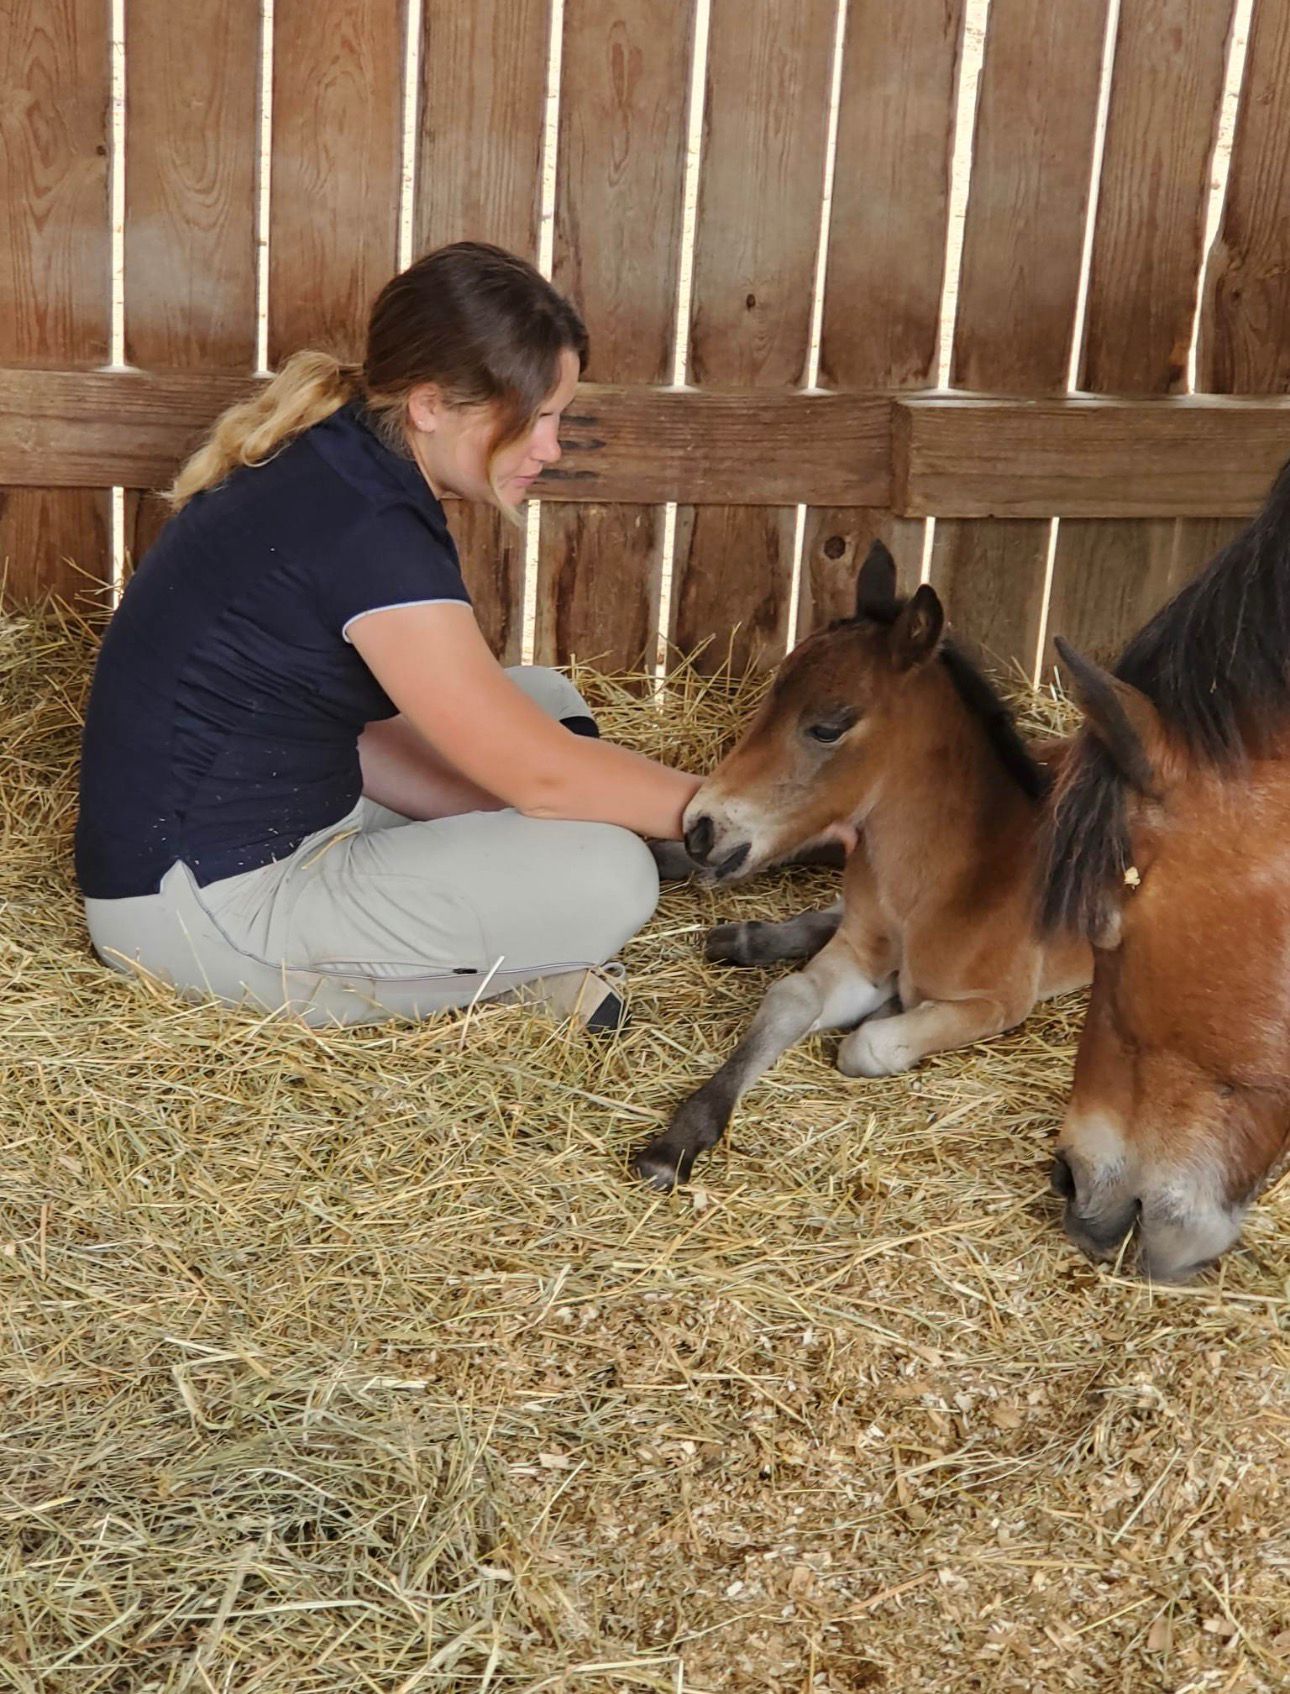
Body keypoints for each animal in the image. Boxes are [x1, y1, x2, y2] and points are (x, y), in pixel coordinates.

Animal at [632, 543, 1092, 1192]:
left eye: (828, 727)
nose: (701, 829)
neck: (946, 880)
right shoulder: (855, 952)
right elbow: (792, 997)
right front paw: (677, 1141)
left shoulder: (998, 1002)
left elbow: (867, 1045)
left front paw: (885, 1004)